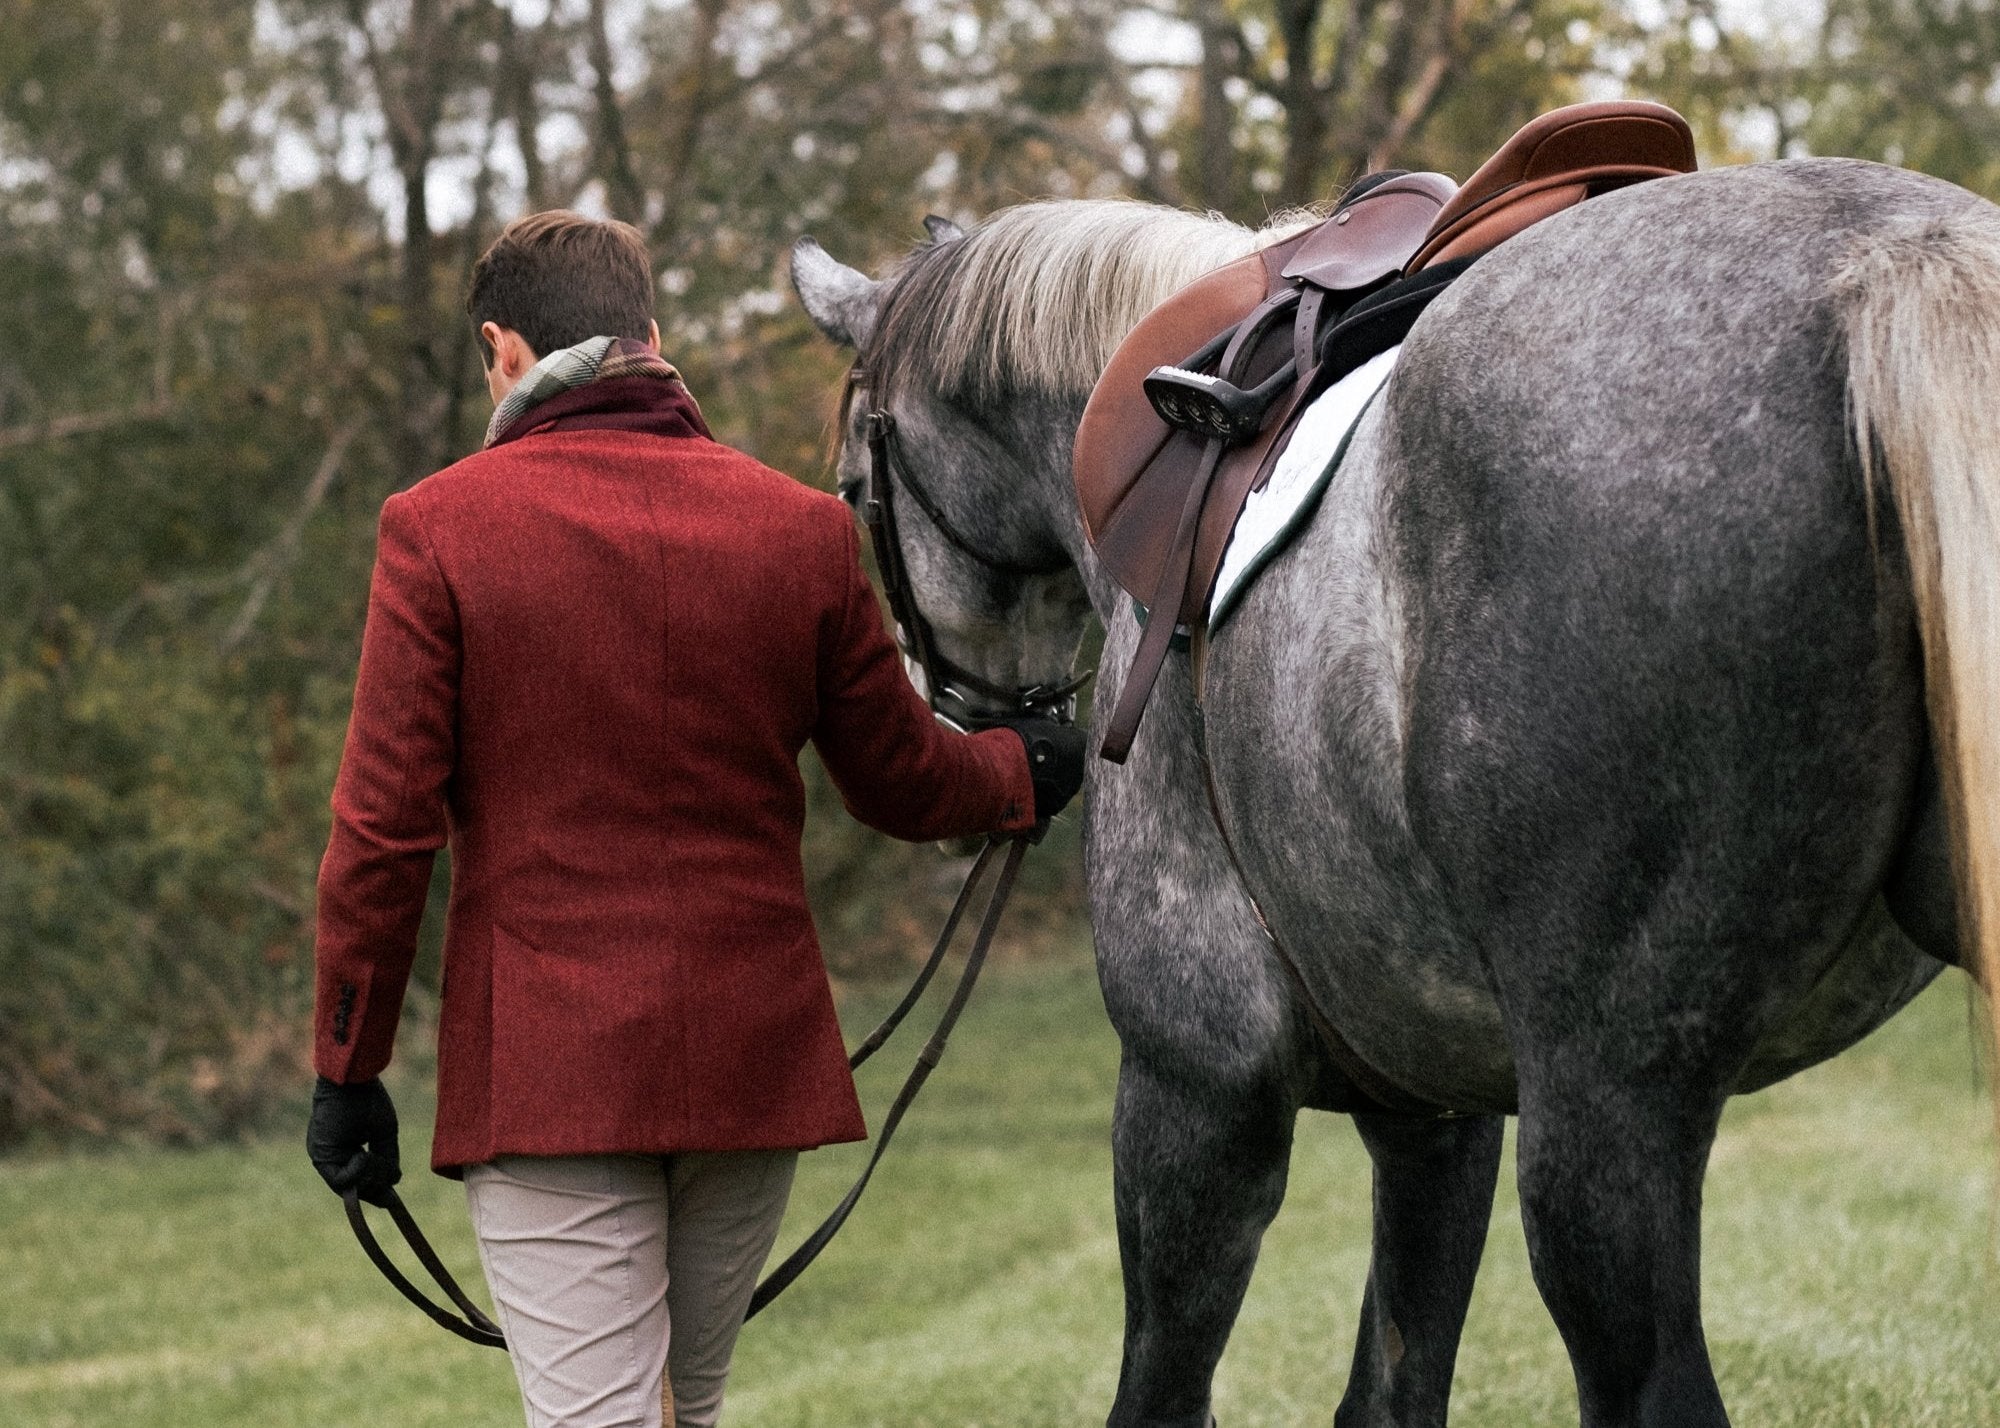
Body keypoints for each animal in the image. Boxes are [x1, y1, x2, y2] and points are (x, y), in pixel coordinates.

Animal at [788, 156, 1992, 1424]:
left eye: (853, 488)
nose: (968, 727)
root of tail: (1893, 252)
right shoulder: (1435, 1112)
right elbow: (1391, 1383)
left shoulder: (1194, 1087)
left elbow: (1161, 1389)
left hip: (1607, 1110)